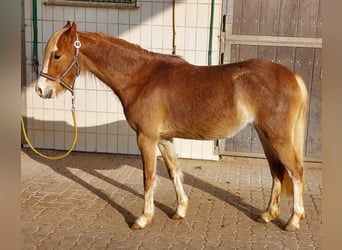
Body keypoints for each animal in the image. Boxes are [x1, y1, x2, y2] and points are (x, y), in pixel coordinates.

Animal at [36, 22, 308, 231]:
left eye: (57, 55)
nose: (40, 90)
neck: (142, 78)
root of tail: (293, 76)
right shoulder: (164, 139)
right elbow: (174, 171)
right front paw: (180, 210)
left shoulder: (146, 138)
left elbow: (149, 178)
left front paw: (143, 219)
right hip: (265, 135)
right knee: (277, 171)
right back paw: (267, 214)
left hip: (277, 137)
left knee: (295, 172)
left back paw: (293, 221)